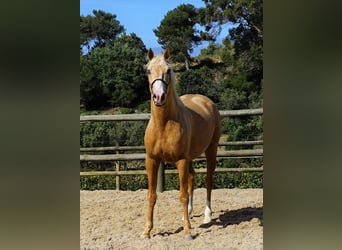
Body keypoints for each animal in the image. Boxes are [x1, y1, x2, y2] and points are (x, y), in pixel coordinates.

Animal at [142, 48, 222, 240]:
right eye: (148, 71)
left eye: (168, 70)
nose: (159, 97)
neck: (163, 124)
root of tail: (206, 101)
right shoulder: (152, 160)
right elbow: (151, 195)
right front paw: (147, 231)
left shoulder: (181, 160)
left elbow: (182, 195)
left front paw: (187, 232)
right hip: (190, 157)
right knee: (193, 178)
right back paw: (190, 214)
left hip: (211, 150)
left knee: (208, 180)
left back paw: (207, 215)